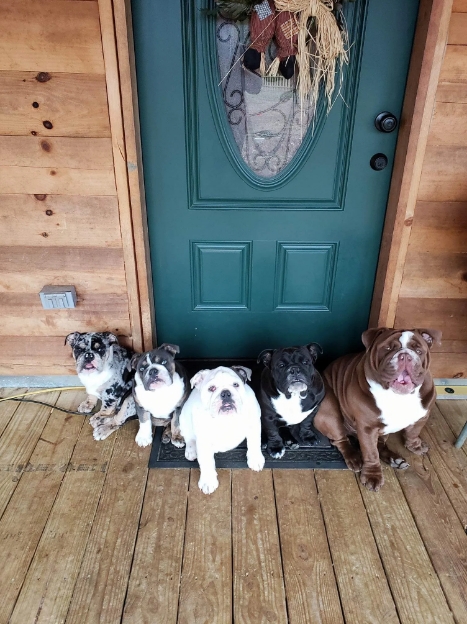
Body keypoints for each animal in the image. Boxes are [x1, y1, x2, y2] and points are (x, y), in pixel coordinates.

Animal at [314, 330, 442, 490]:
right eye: (387, 349)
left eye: (419, 351)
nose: (405, 356)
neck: (399, 396)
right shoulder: (368, 429)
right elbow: (371, 453)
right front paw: (372, 475)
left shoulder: (422, 415)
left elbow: (413, 432)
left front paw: (415, 445)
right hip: (330, 412)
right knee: (341, 440)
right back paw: (354, 458)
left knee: (380, 444)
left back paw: (394, 459)